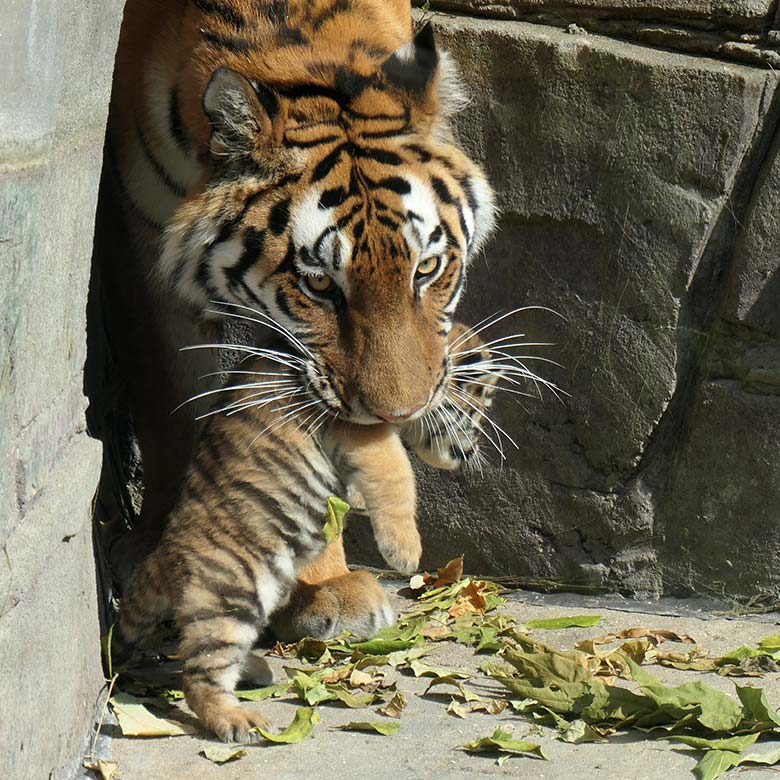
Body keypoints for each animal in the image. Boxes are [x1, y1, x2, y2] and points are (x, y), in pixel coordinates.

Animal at [96, 0, 497, 645]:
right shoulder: (139, 237)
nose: (398, 414)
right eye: (319, 285)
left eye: (427, 268)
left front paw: (322, 586)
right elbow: (170, 408)